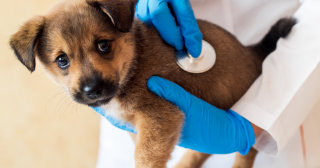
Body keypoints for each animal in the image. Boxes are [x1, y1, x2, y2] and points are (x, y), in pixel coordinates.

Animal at [9, 0, 296, 167]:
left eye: (103, 45)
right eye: (62, 60)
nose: (92, 90)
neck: (133, 62)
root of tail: (253, 52)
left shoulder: (160, 116)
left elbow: (145, 157)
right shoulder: (138, 127)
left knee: (246, 153)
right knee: (201, 153)